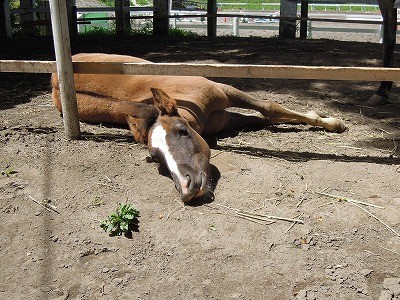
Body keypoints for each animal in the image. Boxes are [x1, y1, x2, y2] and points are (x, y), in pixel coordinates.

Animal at [52, 54, 346, 204]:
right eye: (155, 157)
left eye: (182, 131)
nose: (185, 187)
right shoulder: (224, 119)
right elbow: (265, 117)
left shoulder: (224, 92)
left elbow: (269, 108)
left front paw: (333, 123)